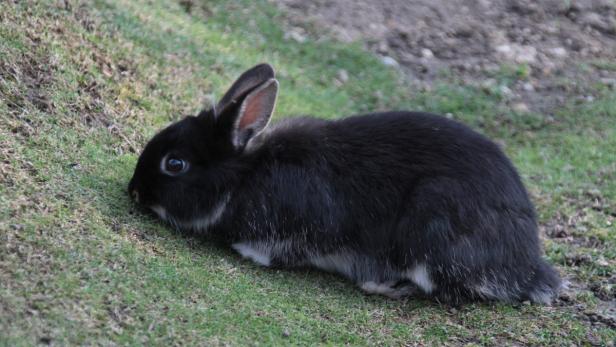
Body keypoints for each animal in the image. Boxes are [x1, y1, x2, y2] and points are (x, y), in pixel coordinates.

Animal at [130, 64, 564, 304]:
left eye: (175, 164)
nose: (134, 191)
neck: (247, 173)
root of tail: (526, 265)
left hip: (432, 225)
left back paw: (382, 287)